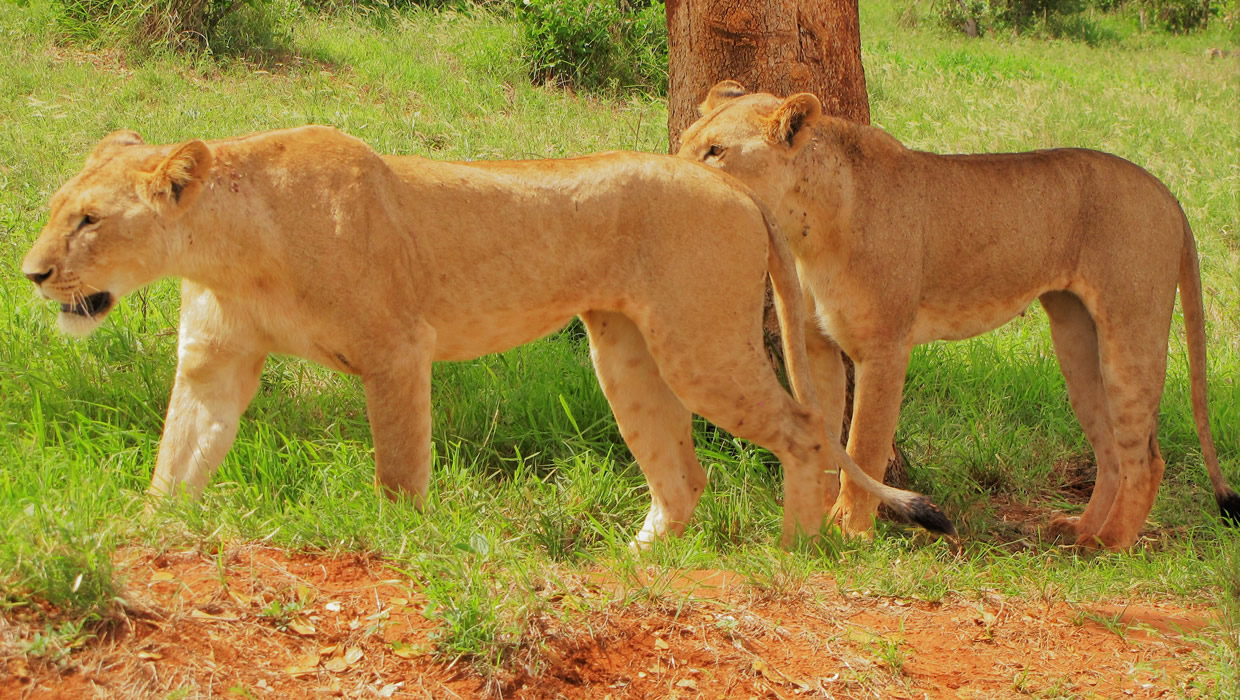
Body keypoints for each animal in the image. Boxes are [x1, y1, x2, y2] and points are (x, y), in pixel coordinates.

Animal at [19, 128, 952, 547]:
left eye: (90, 219)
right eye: (59, 207)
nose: (31, 273)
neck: (228, 247)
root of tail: (731, 185)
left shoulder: (397, 352)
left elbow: (399, 473)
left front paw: (400, 550)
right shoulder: (214, 365)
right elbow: (176, 462)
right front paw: (135, 537)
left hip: (701, 344)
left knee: (803, 429)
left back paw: (794, 553)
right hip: (624, 349)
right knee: (684, 476)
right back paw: (634, 564)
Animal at [679, 80, 1240, 552]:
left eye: (717, 151)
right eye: (686, 142)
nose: (674, 172)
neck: (808, 226)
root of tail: (1167, 194)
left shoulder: (885, 348)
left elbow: (864, 442)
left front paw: (851, 531)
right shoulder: (818, 346)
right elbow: (825, 441)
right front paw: (814, 521)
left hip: (1131, 329)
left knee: (1146, 456)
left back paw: (1108, 544)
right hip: (1077, 338)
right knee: (1109, 449)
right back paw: (1078, 529)